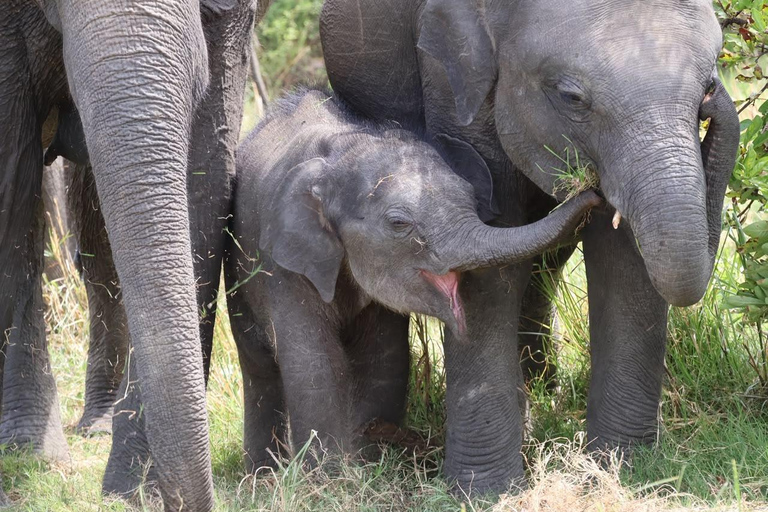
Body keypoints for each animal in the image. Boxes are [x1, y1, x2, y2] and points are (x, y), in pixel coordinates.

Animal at [1, 1, 267, 509]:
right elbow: (12, 178)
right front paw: (33, 457)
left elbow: (206, 174)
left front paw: (133, 491)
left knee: (99, 243)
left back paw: (100, 425)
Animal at [224, 88, 600, 470]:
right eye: (398, 223)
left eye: (469, 195)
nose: (592, 191)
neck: (344, 149)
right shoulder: (284, 263)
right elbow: (313, 363)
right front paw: (329, 475)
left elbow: (383, 353)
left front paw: (371, 456)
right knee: (258, 367)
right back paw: (262, 473)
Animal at [319, 0, 740, 494]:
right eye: (571, 98)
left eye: (706, 85)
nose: (717, 96)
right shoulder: (453, 76)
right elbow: (491, 264)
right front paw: (485, 491)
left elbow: (624, 260)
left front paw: (623, 470)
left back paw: (543, 389)